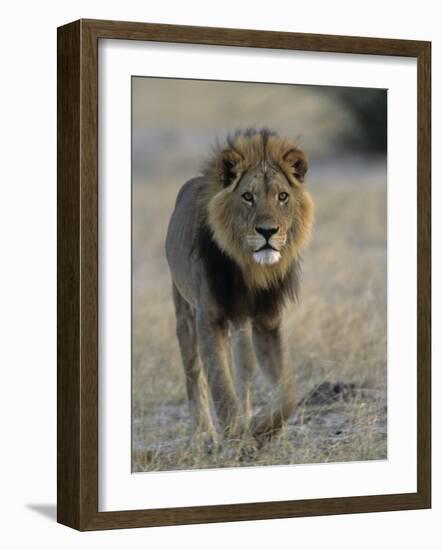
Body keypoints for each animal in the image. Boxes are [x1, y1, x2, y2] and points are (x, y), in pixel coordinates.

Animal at [166, 129, 314, 452]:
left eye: (282, 196)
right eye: (247, 196)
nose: (267, 232)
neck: (251, 270)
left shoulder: (267, 322)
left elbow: (288, 393)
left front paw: (260, 430)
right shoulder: (209, 319)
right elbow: (221, 386)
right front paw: (237, 437)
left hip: (242, 326)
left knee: (244, 372)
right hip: (184, 311)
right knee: (194, 373)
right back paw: (204, 435)